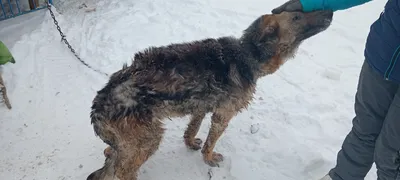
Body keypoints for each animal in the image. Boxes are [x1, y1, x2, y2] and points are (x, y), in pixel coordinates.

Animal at [87, 10, 334, 180]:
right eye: (296, 17)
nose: (330, 12)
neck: (248, 54)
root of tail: (98, 107)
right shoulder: (222, 115)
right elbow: (210, 142)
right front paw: (208, 158)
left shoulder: (201, 107)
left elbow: (192, 129)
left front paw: (190, 143)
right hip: (149, 139)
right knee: (120, 172)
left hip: (133, 142)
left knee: (114, 155)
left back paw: (109, 151)